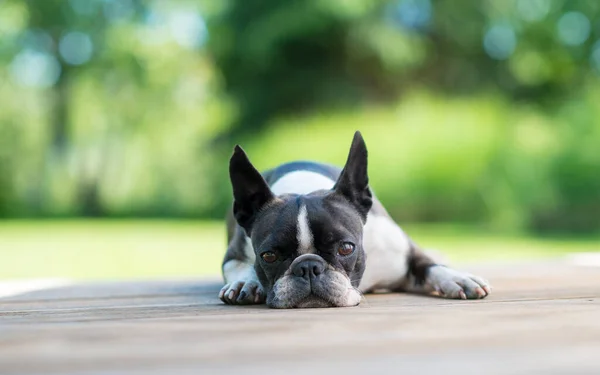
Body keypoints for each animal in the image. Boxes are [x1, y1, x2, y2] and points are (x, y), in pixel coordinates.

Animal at [218, 131, 490, 308]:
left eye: (346, 248)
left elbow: (429, 265)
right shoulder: (233, 254)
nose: (308, 267)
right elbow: (238, 266)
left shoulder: (402, 252)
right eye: (269, 256)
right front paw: (245, 282)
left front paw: (456, 278)